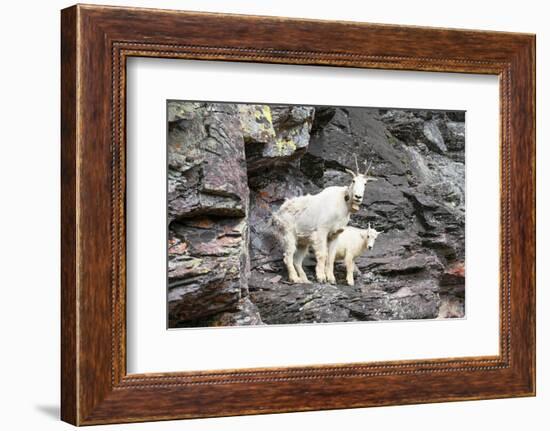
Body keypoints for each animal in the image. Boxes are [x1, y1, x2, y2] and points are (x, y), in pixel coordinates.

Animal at [272, 157, 378, 286]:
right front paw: (321, 277)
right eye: (353, 180)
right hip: (288, 234)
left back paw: (305, 280)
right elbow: (323, 254)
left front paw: (331, 279)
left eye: (365, 183)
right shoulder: (322, 230)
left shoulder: (335, 234)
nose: (358, 197)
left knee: (297, 260)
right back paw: (295, 278)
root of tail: (278, 212)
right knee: (288, 256)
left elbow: (331, 256)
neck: (342, 204)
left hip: (303, 241)